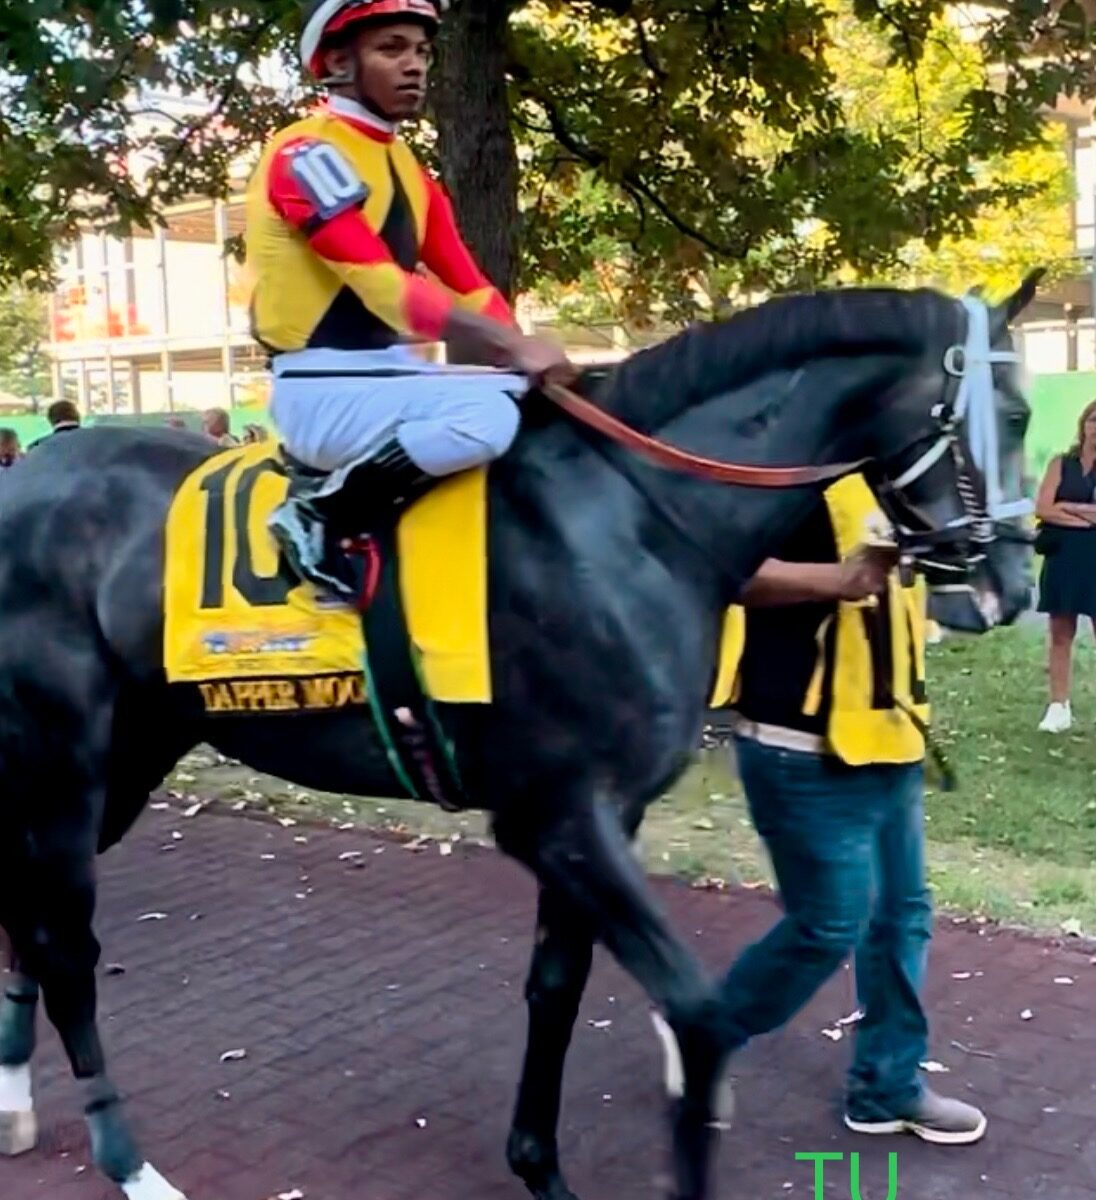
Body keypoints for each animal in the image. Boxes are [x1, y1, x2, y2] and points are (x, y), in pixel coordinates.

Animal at [0, 283, 1037, 1200]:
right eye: (1017, 416)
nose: (1011, 589)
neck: (631, 519)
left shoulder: (604, 819)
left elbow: (556, 988)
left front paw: (539, 1165)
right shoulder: (558, 817)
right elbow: (698, 1016)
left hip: (125, 761)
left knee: (28, 926)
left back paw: (16, 1100)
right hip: (65, 764)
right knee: (67, 951)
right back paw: (128, 1161)